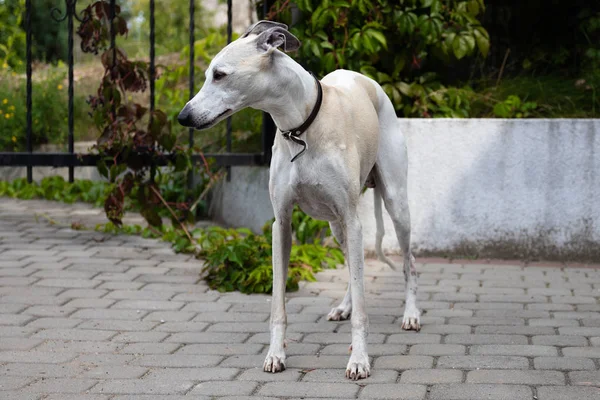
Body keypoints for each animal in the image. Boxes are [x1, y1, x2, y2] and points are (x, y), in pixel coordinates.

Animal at [178, 20, 420, 380]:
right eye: (209, 74)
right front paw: (276, 355)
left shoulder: (353, 218)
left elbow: (364, 306)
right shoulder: (282, 222)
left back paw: (411, 313)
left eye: (219, 75)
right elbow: (279, 303)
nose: (183, 117)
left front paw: (359, 359)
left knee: (408, 262)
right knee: (354, 267)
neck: (301, 127)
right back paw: (345, 306)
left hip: (395, 204)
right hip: (337, 226)